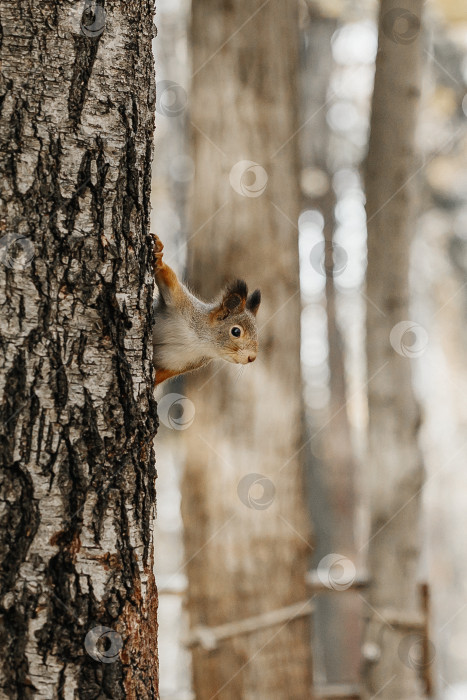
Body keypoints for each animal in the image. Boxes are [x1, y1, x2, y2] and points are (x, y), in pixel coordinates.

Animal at [152, 238, 262, 386]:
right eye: (236, 331)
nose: (252, 357)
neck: (201, 342)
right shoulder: (183, 304)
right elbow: (170, 281)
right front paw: (159, 257)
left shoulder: (177, 365)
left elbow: (159, 376)